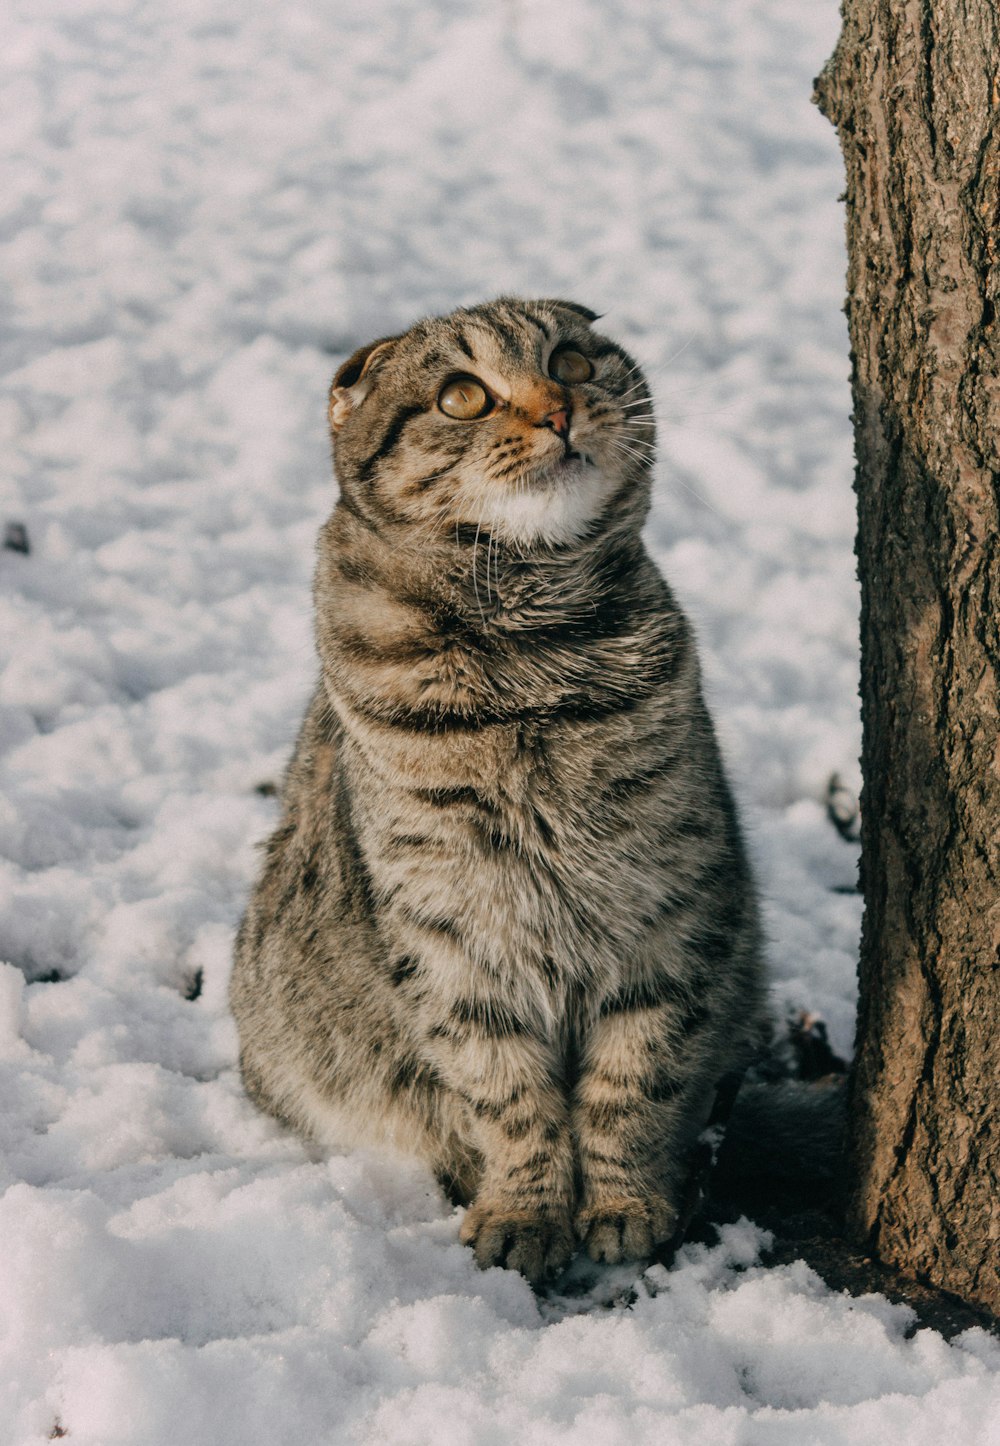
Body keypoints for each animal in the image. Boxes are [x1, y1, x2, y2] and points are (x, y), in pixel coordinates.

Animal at [232, 296, 763, 1289]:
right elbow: (507, 1093)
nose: (559, 409)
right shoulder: (454, 942)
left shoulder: (668, 909)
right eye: (462, 395)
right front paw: (524, 1211)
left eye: (573, 361)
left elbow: (635, 1075)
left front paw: (624, 1202)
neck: (532, 653)